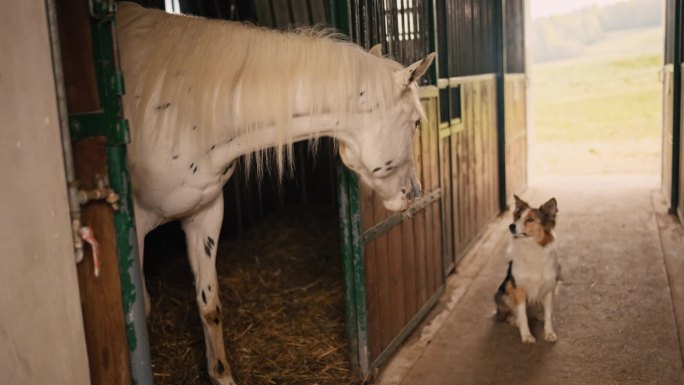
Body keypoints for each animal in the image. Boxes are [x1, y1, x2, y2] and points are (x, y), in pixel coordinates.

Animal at [115, 2, 436, 380]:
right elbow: (144, 313)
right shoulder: (134, 228)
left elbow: (210, 306)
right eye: (416, 122)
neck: (179, 112)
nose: (413, 192)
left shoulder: (204, 213)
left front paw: (222, 375)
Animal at [496, 195, 560, 342]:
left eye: (530, 219)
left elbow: (548, 314)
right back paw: (514, 319)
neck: (531, 247)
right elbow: (523, 315)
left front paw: (549, 332)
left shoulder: (549, 287)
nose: (511, 226)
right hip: (506, 288)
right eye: (518, 217)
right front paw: (526, 335)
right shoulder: (518, 288)